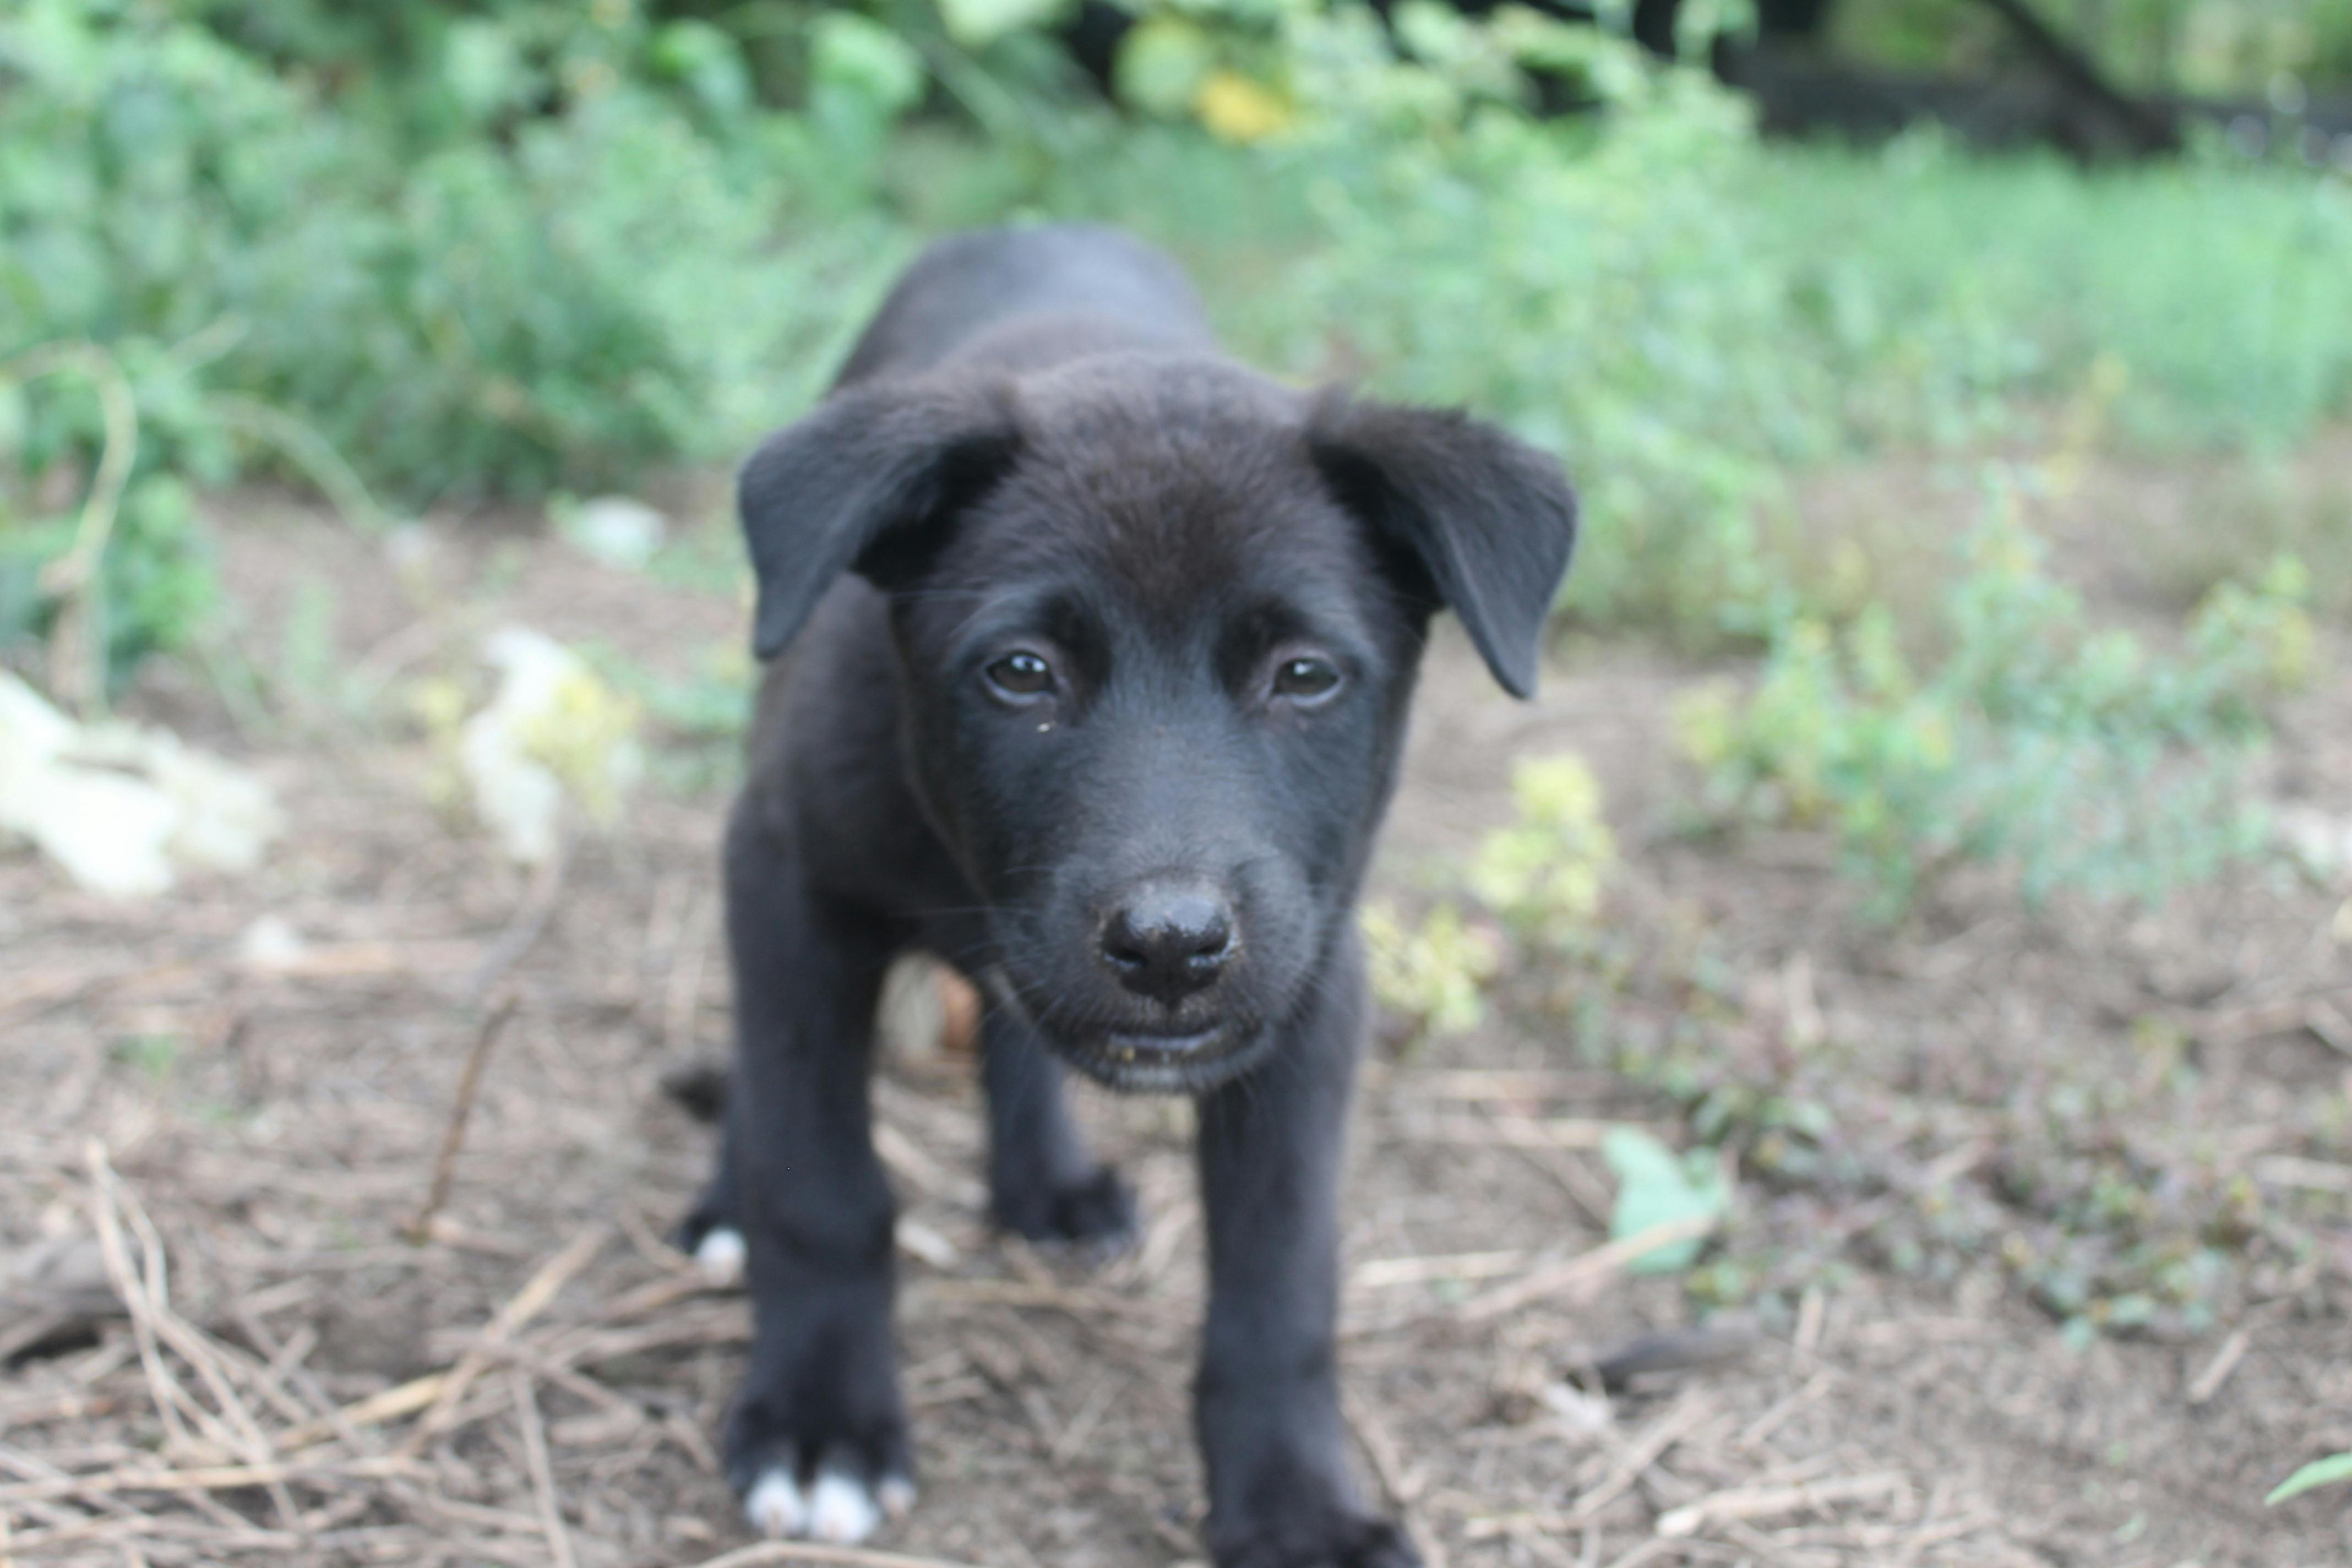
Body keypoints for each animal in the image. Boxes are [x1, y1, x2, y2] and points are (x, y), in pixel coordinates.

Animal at [687, 223, 1589, 1568]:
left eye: (1304, 675)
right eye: (1021, 672)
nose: (1171, 945)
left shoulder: (1312, 987)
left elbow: (1281, 1283)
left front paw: (1294, 1507)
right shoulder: (790, 878)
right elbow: (819, 1177)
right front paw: (819, 1421)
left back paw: (1047, 1186)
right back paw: (724, 1201)